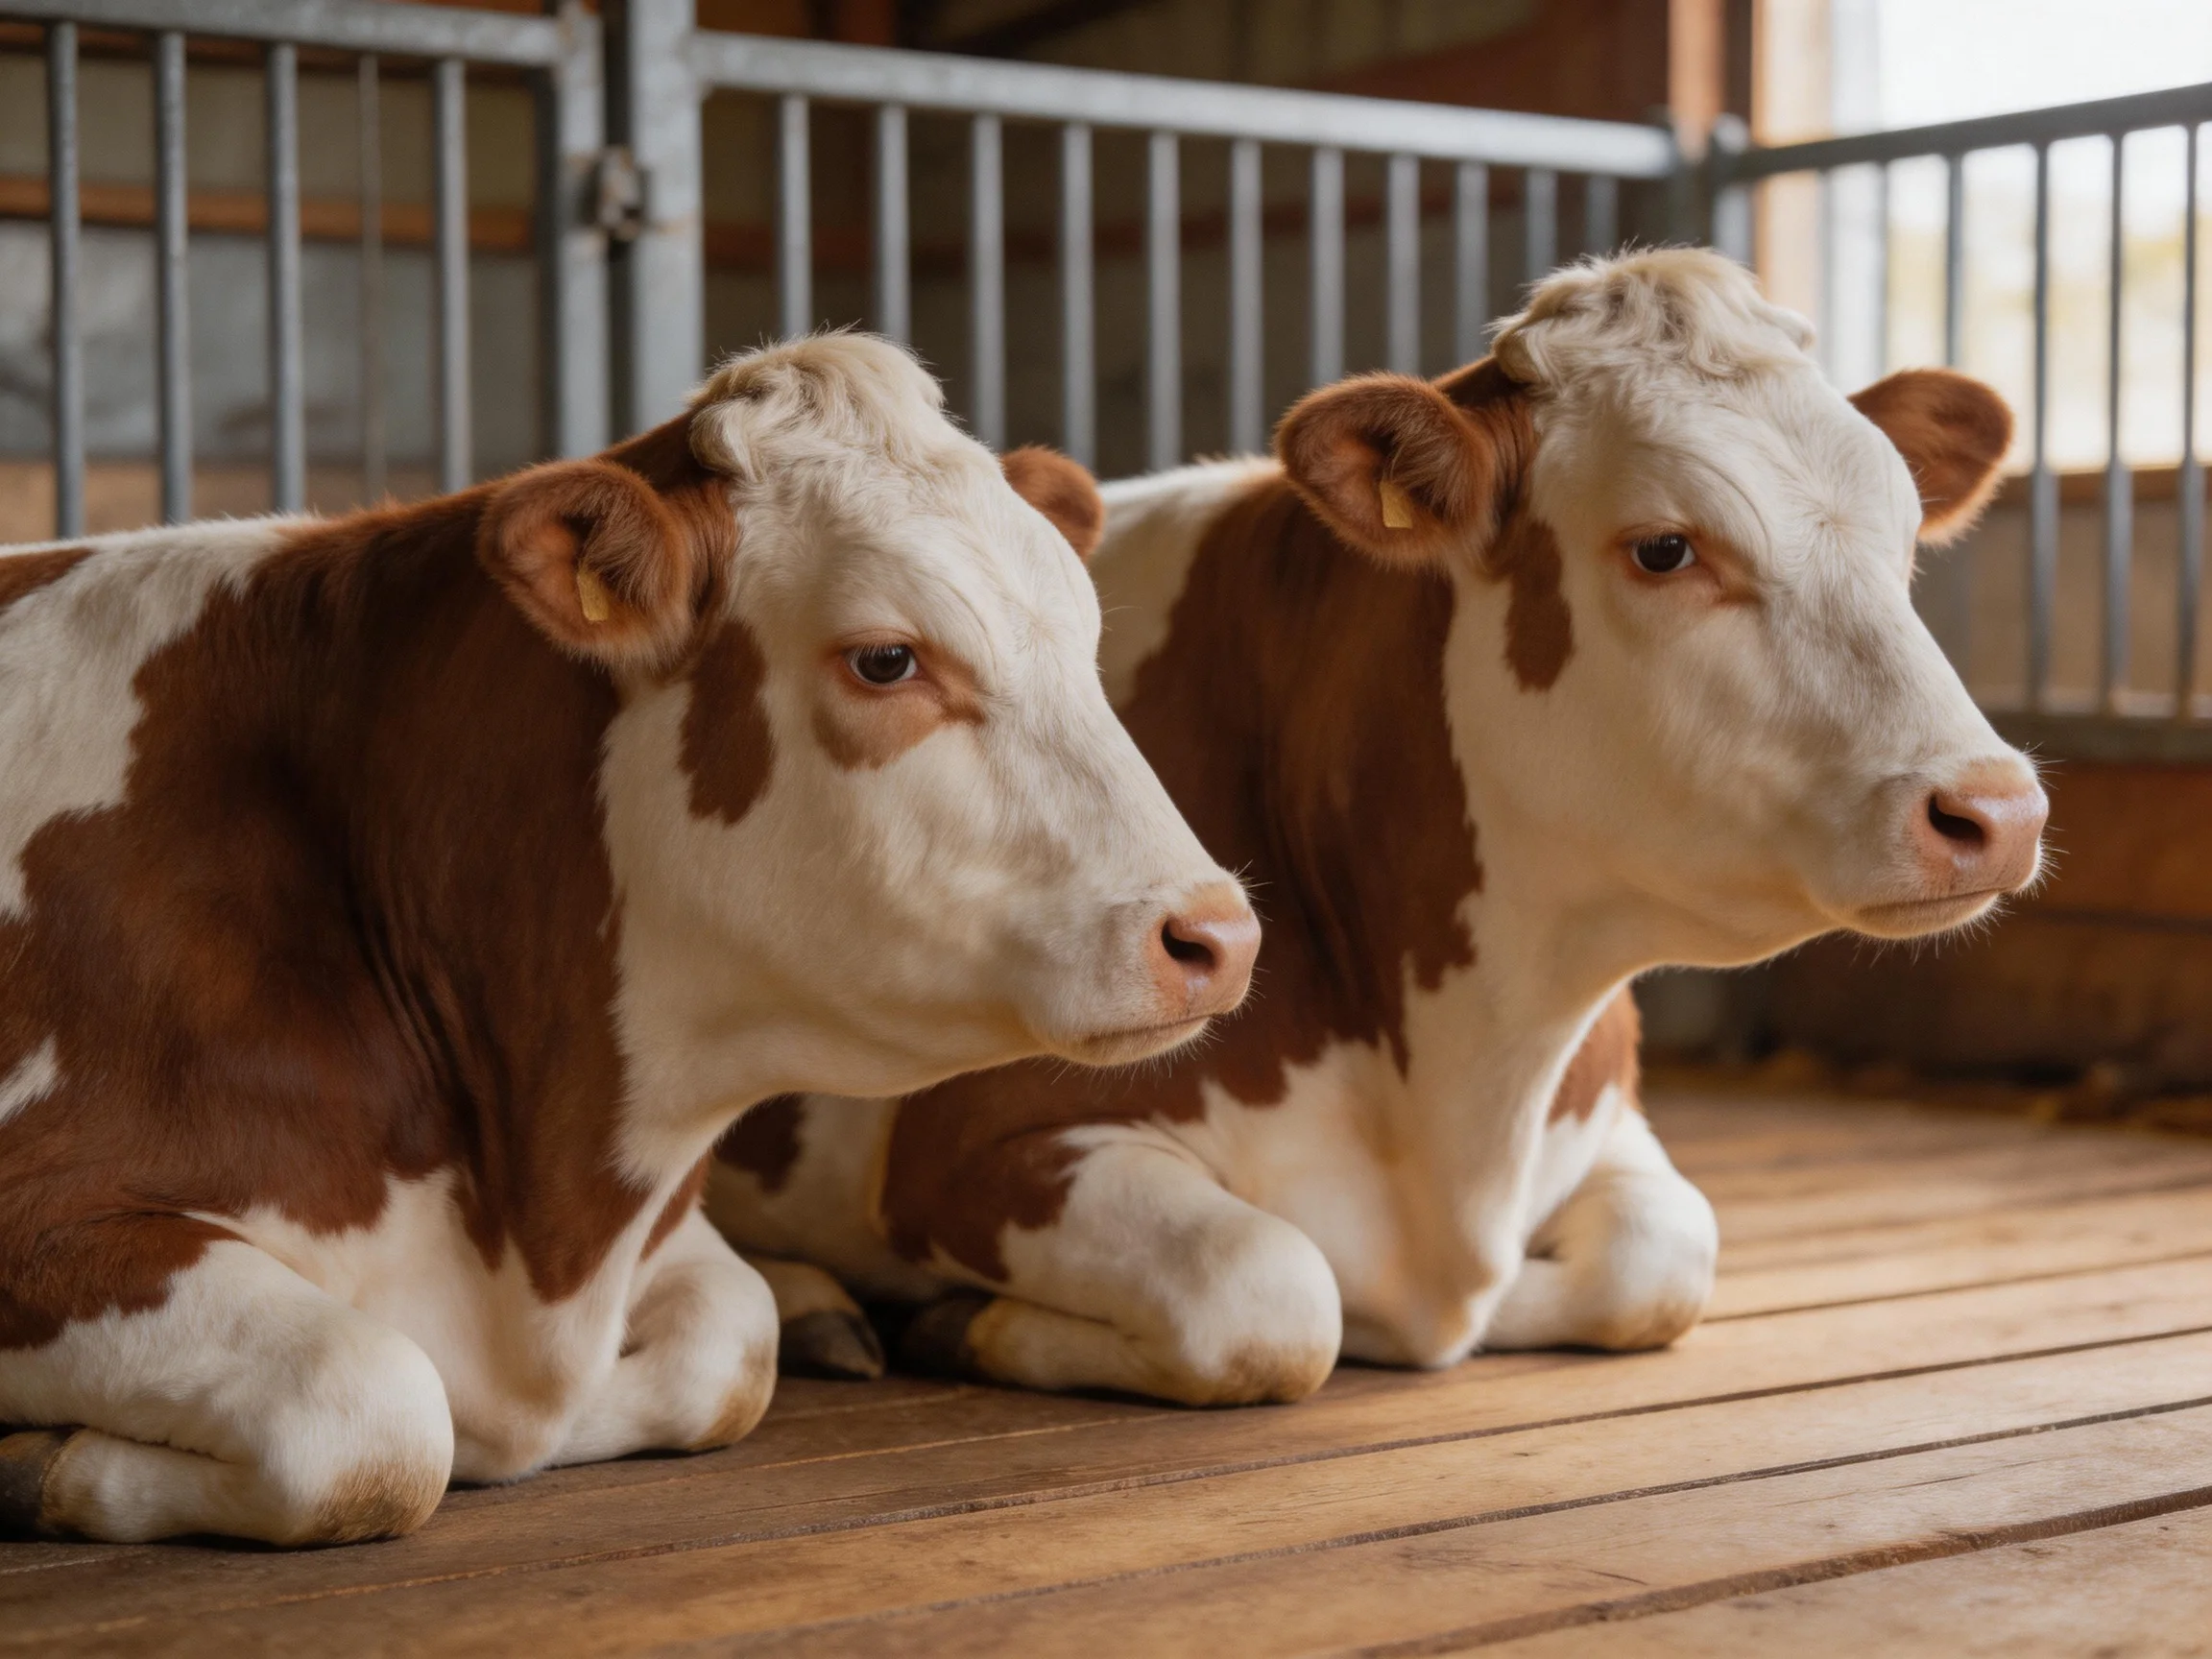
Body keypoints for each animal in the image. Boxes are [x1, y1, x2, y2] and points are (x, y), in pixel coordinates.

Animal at [0, 334, 1257, 1546]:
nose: (1217, 934)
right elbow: (374, 1410)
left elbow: (730, 1345)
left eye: (1087, 640)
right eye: (887, 657)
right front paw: (45, 1461)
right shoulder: (45, 1219)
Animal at [706, 250, 2045, 1406]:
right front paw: (947, 1319)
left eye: (1903, 538)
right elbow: (1277, 1290)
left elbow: (1666, 1256)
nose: (1997, 808)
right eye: (1667, 547)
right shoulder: (970, 1145)